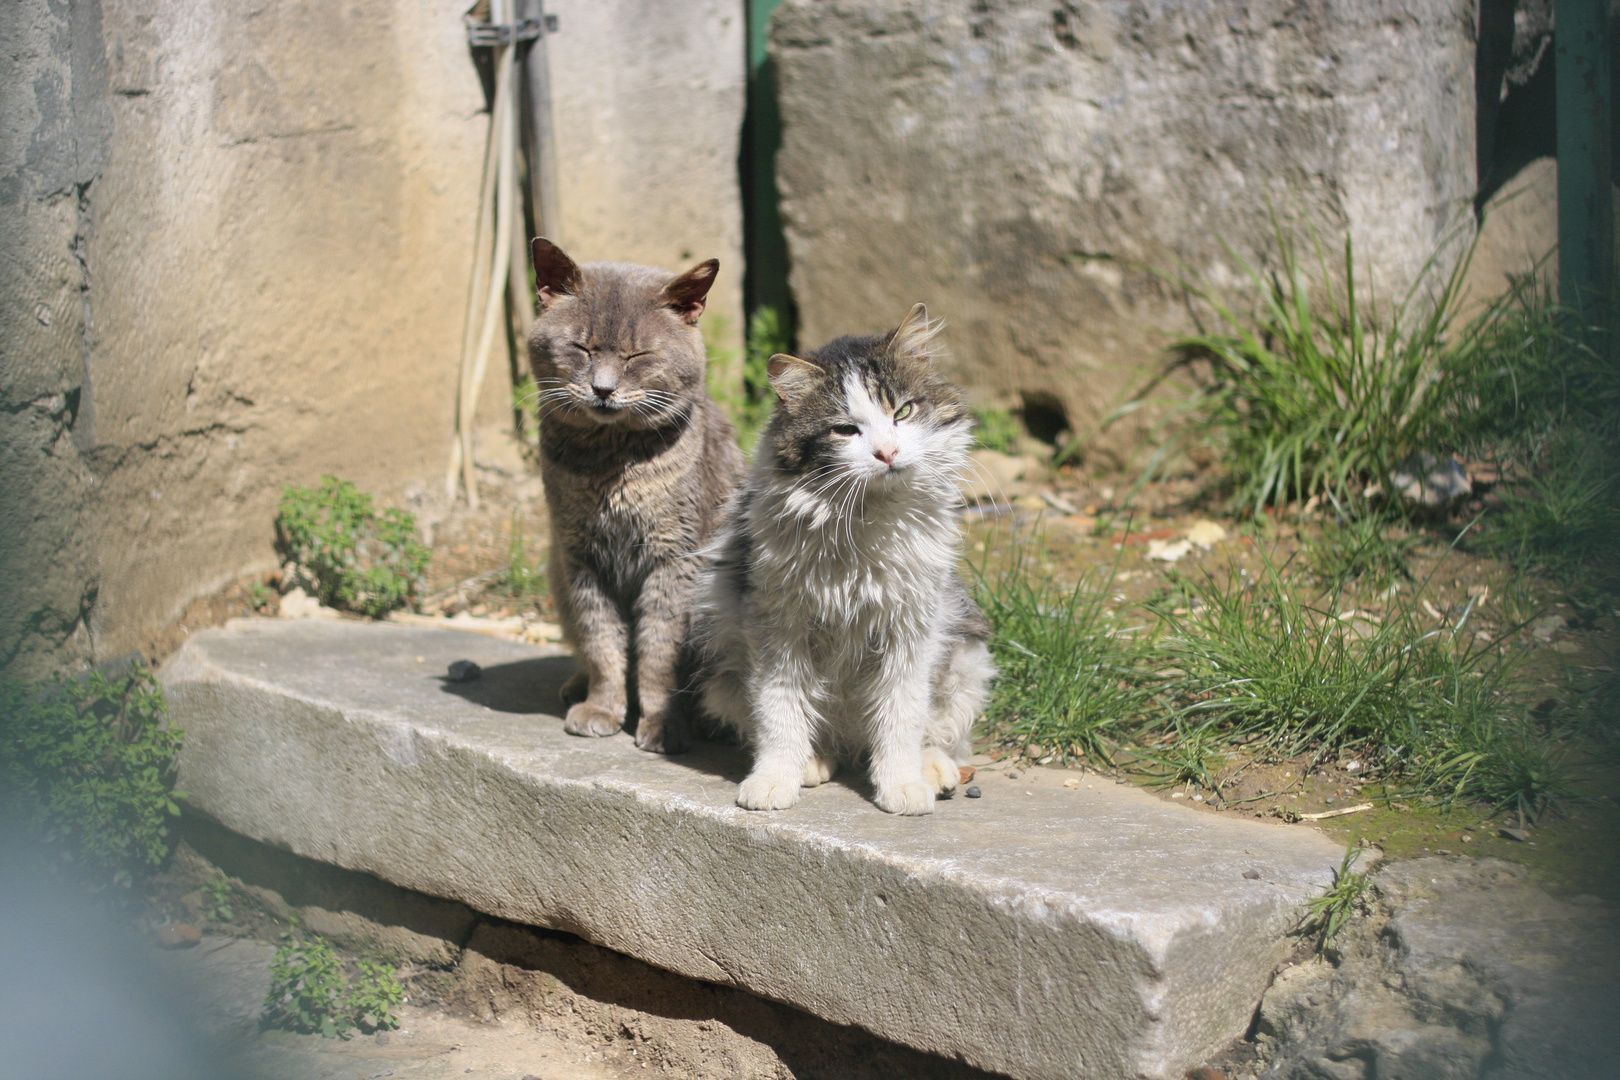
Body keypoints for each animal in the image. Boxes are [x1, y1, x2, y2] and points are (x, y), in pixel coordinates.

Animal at [528, 241, 741, 757]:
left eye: (637, 354)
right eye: (582, 347)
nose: (603, 389)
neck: (609, 466)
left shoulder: (674, 560)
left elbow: (659, 654)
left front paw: (662, 725)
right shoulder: (579, 557)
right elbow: (602, 643)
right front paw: (602, 708)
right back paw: (575, 687)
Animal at [690, 302, 991, 809]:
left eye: (903, 411)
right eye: (845, 430)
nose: (887, 452)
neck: (863, 522)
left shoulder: (912, 625)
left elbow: (902, 714)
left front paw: (901, 785)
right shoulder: (777, 624)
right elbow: (780, 712)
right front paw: (774, 780)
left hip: (966, 658)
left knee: (937, 734)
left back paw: (933, 771)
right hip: (723, 672)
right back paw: (815, 763)